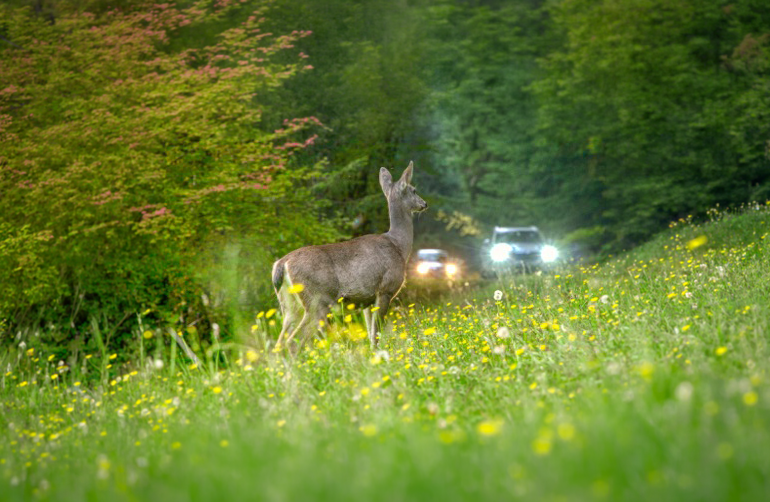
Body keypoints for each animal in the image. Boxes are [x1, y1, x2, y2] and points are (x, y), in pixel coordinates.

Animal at [271, 161, 427, 354]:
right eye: (414, 190)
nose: (424, 203)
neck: (398, 245)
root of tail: (281, 264)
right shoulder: (385, 289)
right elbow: (376, 333)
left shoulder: (368, 300)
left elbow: (371, 335)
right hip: (317, 301)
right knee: (293, 342)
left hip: (289, 305)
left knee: (279, 343)